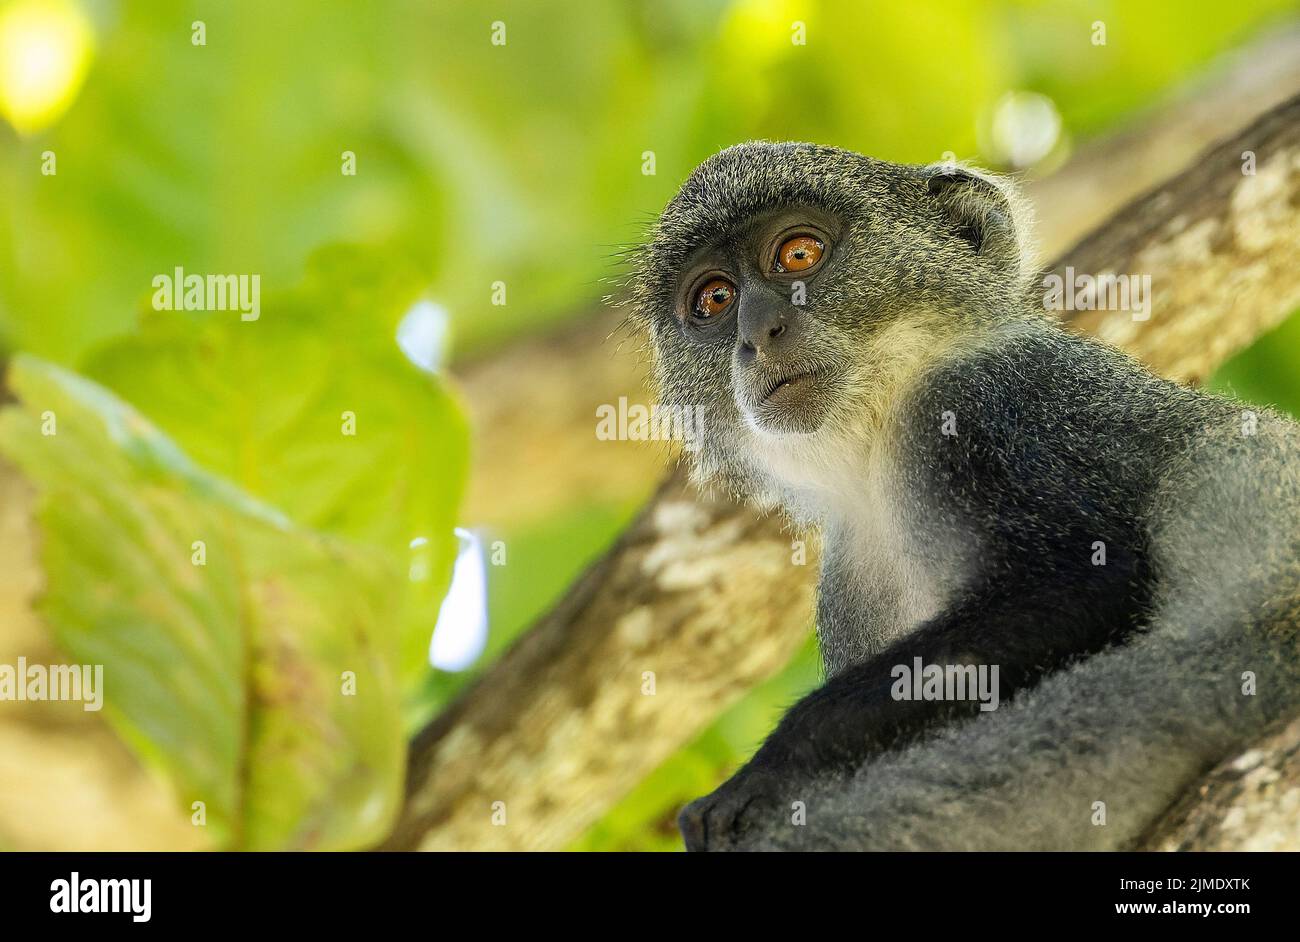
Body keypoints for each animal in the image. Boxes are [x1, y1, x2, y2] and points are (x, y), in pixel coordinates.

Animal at [626, 141, 1300, 852]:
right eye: (714, 299)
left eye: (799, 254)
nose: (759, 333)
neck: (878, 446)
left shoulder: (990, 398)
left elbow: (1086, 582)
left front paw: (778, 762)